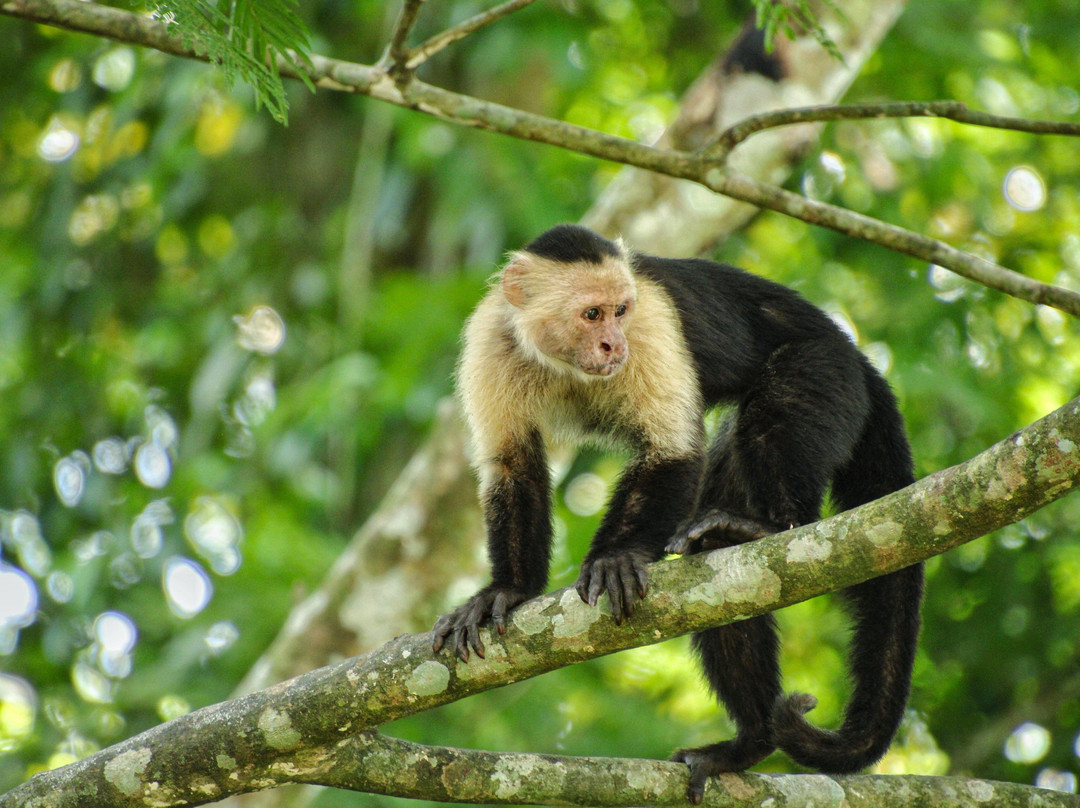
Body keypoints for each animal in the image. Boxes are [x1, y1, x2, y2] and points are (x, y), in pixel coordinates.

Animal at [431, 223, 923, 802]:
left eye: (620, 311)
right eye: (592, 315)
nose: (613, 343)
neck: (564, 362)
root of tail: (856, 354)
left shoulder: (651, 325)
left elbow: (672, 451)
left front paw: (617, 557)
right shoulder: (492, 339)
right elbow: (513, 468)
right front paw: (506, 591)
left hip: (828, 371)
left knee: (780, 412)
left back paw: (771, 525)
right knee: (733, 592)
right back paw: (750, 742)